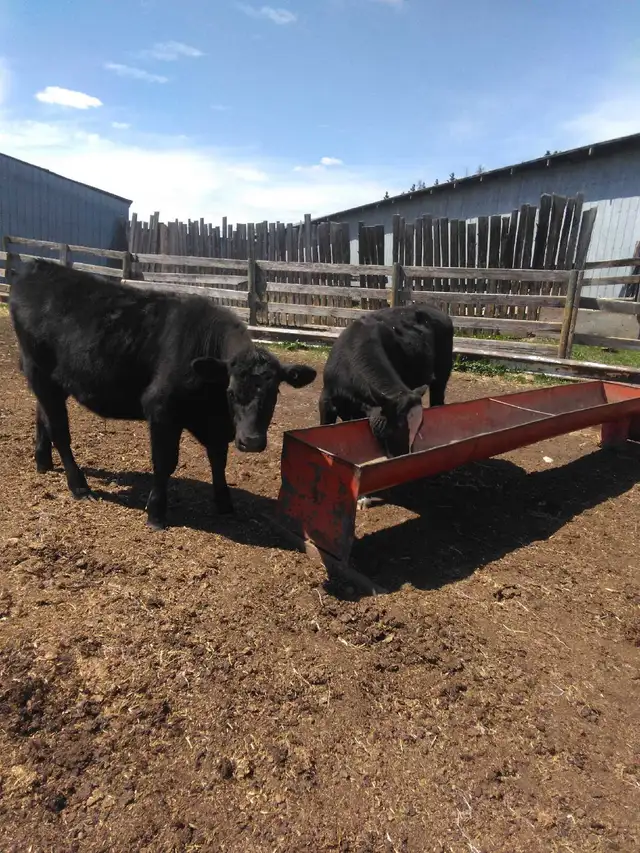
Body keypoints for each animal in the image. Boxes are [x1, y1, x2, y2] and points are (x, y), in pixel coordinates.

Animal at [9, 259, 316, 530]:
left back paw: (43, 462)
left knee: (42, 416)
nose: (251, 442)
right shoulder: (161, 410)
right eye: (230, 391)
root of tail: (36, 267)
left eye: (275, 392)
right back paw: (79, 486)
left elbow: (218, 458)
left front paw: (224, 502)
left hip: (50, 381)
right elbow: (165, 462)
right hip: (41, 374)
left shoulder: (217, 424)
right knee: (60, 431)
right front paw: (156, 513)